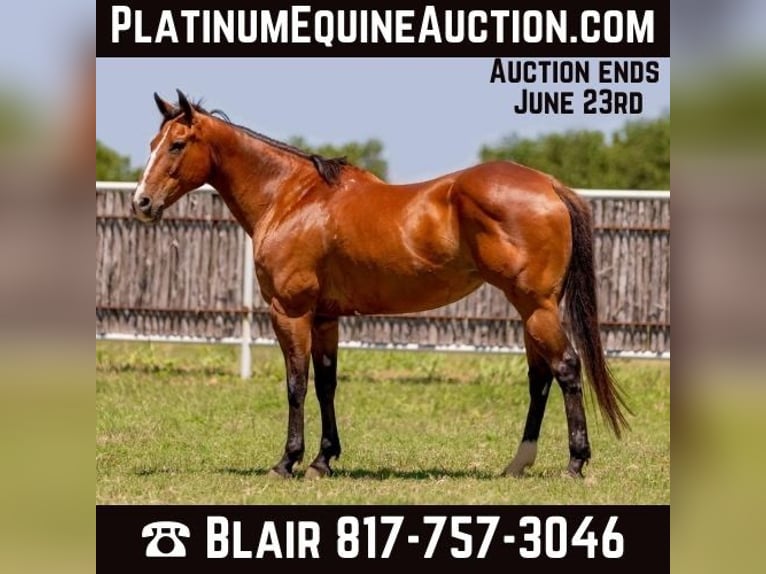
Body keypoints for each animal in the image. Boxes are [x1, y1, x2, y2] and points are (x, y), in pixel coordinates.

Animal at [133, 90, 630, 479]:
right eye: (153, 142)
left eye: (177, 144)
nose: (142, 202)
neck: (292, 198)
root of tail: (548, 184)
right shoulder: (325, 317)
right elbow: (326, 383)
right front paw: (323, 460)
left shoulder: (290, 312)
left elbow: (296, 384)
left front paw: (287, 461)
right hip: (530, 309)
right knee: (540, 377)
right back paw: (518, 464)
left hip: (536, 306)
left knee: (566, 369)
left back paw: (575, 463)